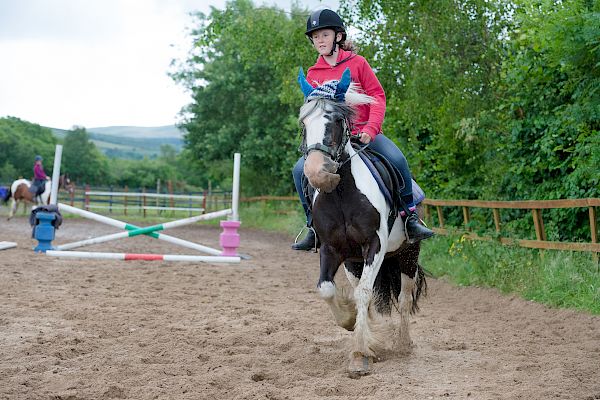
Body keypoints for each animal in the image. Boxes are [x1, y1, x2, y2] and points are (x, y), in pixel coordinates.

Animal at [298, 67, 424, 376]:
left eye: (336, 120)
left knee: (404, 298)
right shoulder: (331, 249)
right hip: (354, 262)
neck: (342, 195)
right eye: (304, 121)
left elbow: (366, 293)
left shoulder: (374, 244)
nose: (318, 173)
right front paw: (353, 326)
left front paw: (358, 354)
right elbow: (328, 289)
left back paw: (403, 344)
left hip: (408, 254)